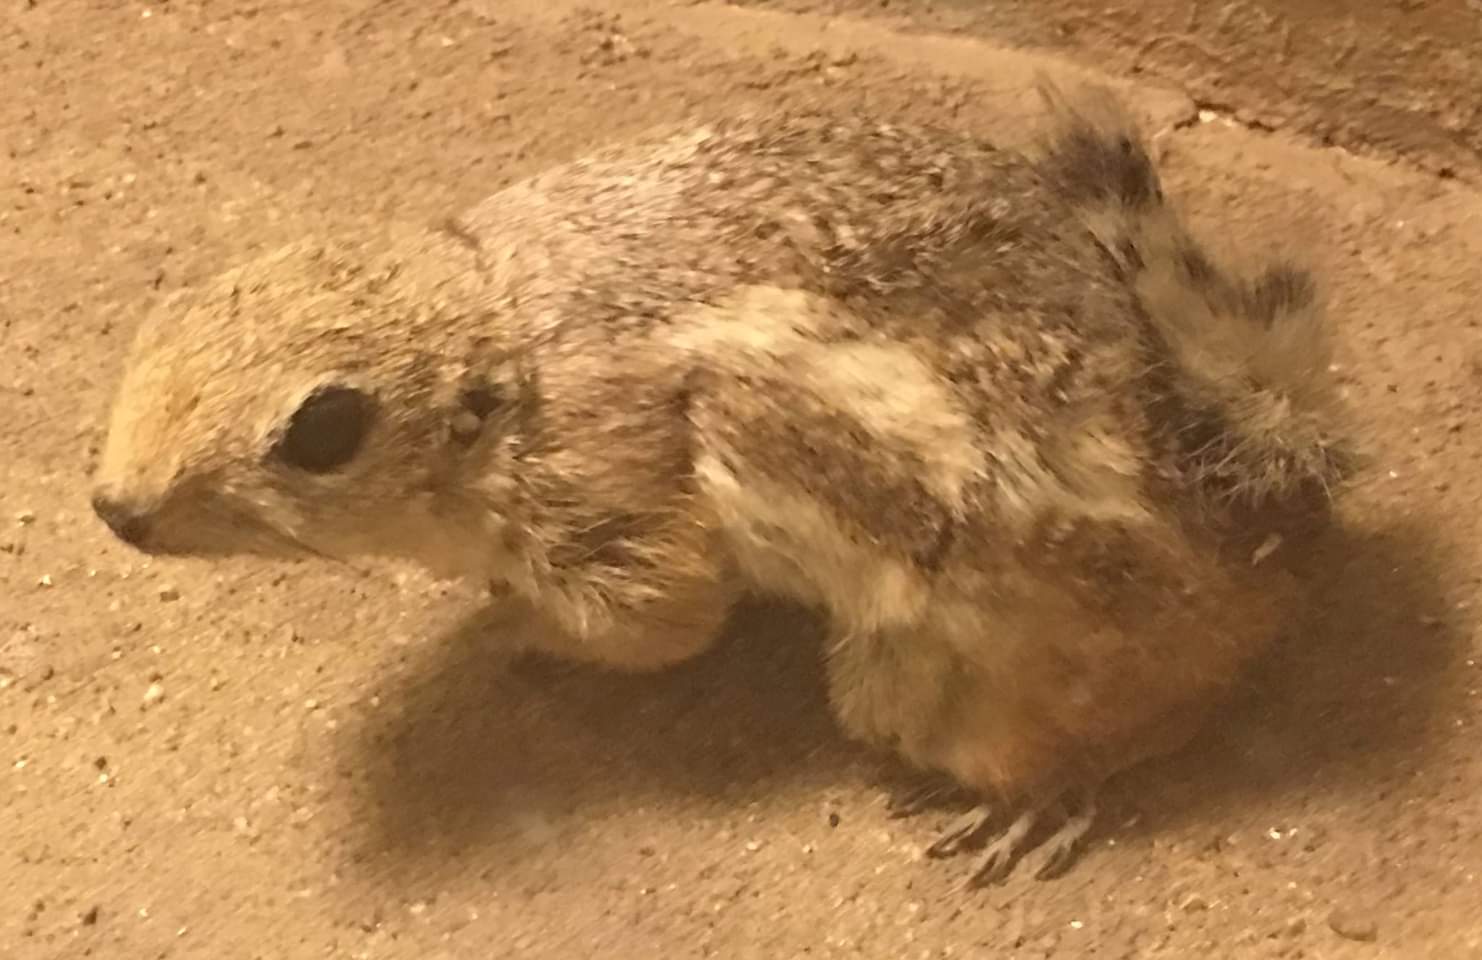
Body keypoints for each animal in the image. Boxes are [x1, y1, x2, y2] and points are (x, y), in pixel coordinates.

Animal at [91, 82, 1349, 885]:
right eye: (178, 308)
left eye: (325, 428)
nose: (117, 507)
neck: (503, 347)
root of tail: (1264, 493)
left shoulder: (620, 537)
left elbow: (655, 627)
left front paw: (513, 631)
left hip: (924, 678)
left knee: (1163, 705)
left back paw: (1037, 804)